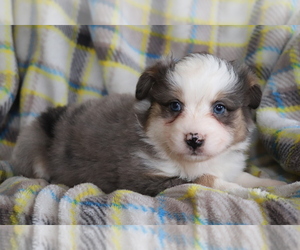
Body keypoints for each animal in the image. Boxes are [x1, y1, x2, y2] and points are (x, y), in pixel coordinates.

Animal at [10, 53, 284, 197]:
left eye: (219, 108)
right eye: (175, 105)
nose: (194, 139)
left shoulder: (228, 166)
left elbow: (245, 176)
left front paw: (276, 185)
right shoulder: (144, 177)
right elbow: (205, 180)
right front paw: (248, 193)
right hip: (32, 147)